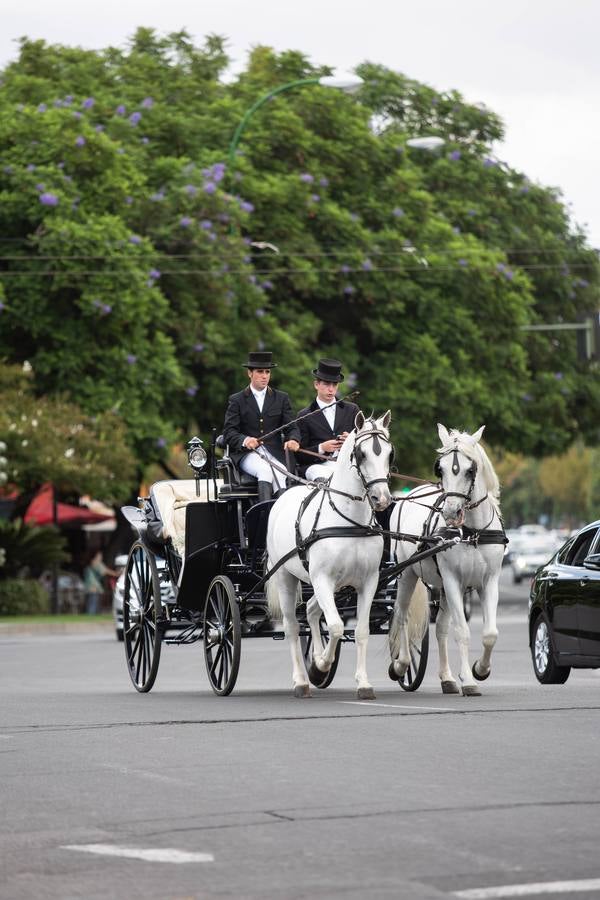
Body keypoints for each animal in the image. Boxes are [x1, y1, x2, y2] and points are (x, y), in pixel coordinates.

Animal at [268, 412, 394, 700]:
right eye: (360, 453)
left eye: (389, 453)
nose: (382, 499)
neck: (349, 521)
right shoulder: (322, 578)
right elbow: (336, 626)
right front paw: (320, 667)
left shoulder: (368, 581)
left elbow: (360, 631)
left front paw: (363, 684)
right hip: (286, 577)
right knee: (293, 625)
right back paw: (301, 680)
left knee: (312, 610)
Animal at [390, 424, 506, 696]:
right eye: (439, 468)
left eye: (470, 469)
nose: (451, 512)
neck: (472, 532)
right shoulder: (453, 580)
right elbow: (462, 631)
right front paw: (470, 681)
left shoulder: (488, 581)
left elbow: (490, 633)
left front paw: (480, 670)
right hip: (407, 575)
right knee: (402, 615)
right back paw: (401, 664)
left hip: (441, 587)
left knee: (441, 628)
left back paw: (447, 678)